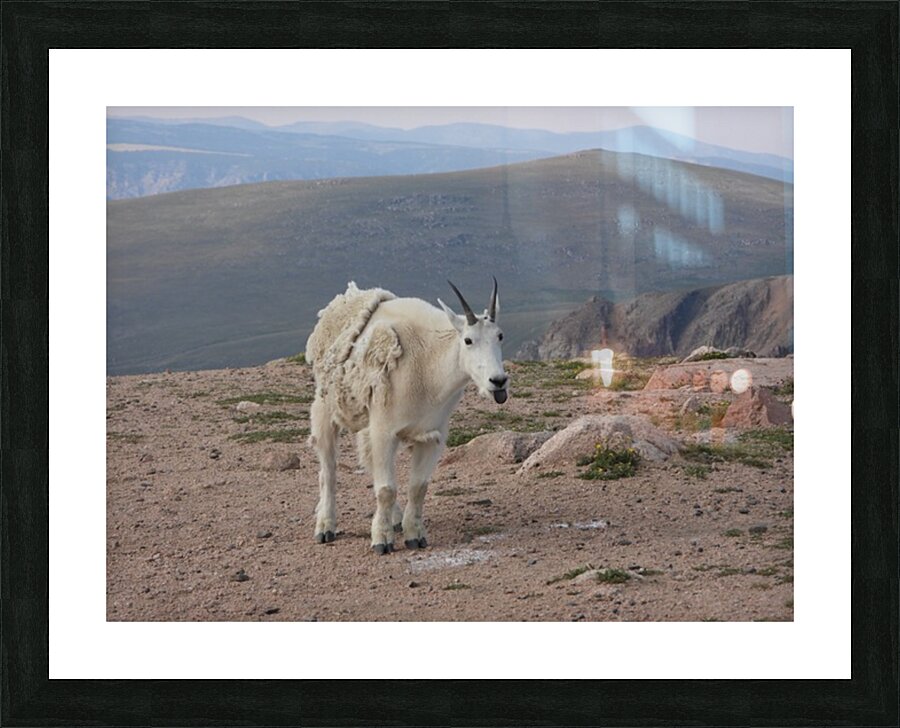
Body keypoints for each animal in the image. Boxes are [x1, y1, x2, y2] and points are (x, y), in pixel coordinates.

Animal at [305, 278, 508, 554]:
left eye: (500, 336)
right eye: (468, 340)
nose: (498, 382)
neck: (431, 367)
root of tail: (343, 300)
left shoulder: (432, 435)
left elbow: (418, 487)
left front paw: (415, 536)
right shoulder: (384, 431)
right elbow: (386, 489)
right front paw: (381, 541)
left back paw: (395, 519)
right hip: (326, 407)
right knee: (328, 469)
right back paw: (326, 527)